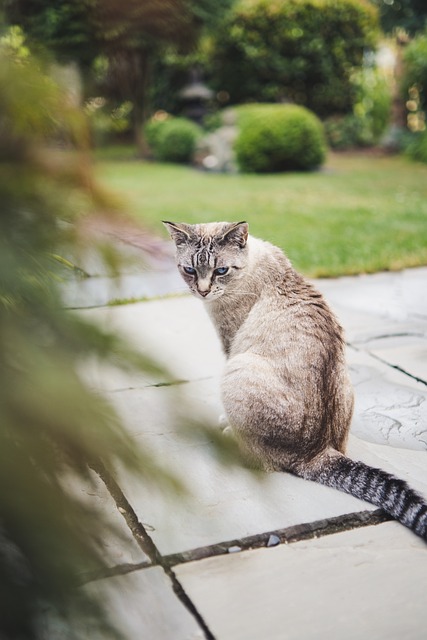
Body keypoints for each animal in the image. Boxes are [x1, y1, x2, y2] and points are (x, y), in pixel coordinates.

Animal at [164, 220, 427, 540]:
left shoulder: (231, 346)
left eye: (221, 271)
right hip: (347, 383)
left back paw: (228, 438)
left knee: (258, 461)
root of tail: (317, 453)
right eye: (190, 270)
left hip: (239, 368)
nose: (202, 291)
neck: (255, 262)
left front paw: (225, 423)